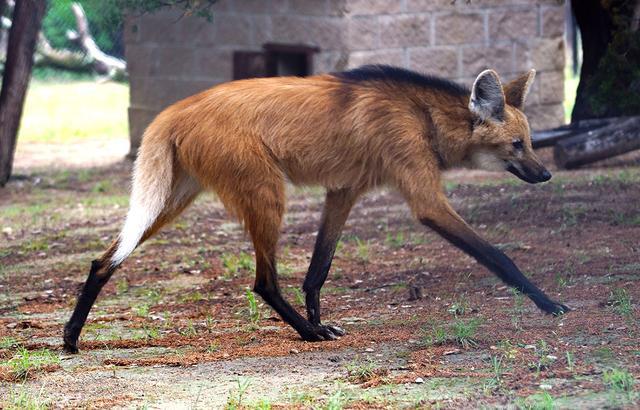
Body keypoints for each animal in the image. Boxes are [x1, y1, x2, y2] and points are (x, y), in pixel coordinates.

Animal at [62, 65, 568, 352]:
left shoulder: (343, 191)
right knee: (263, 281)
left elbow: (318, 269)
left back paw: (70, 337)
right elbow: (497, 255)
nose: (546, 174)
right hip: (266, 192)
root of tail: (174, 110)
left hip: (173, 200)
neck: (424, 116)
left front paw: (321, 318)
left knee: (104, 259)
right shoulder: (424, 198)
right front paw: (549, 303)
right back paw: (305, 335)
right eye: (517, 144)